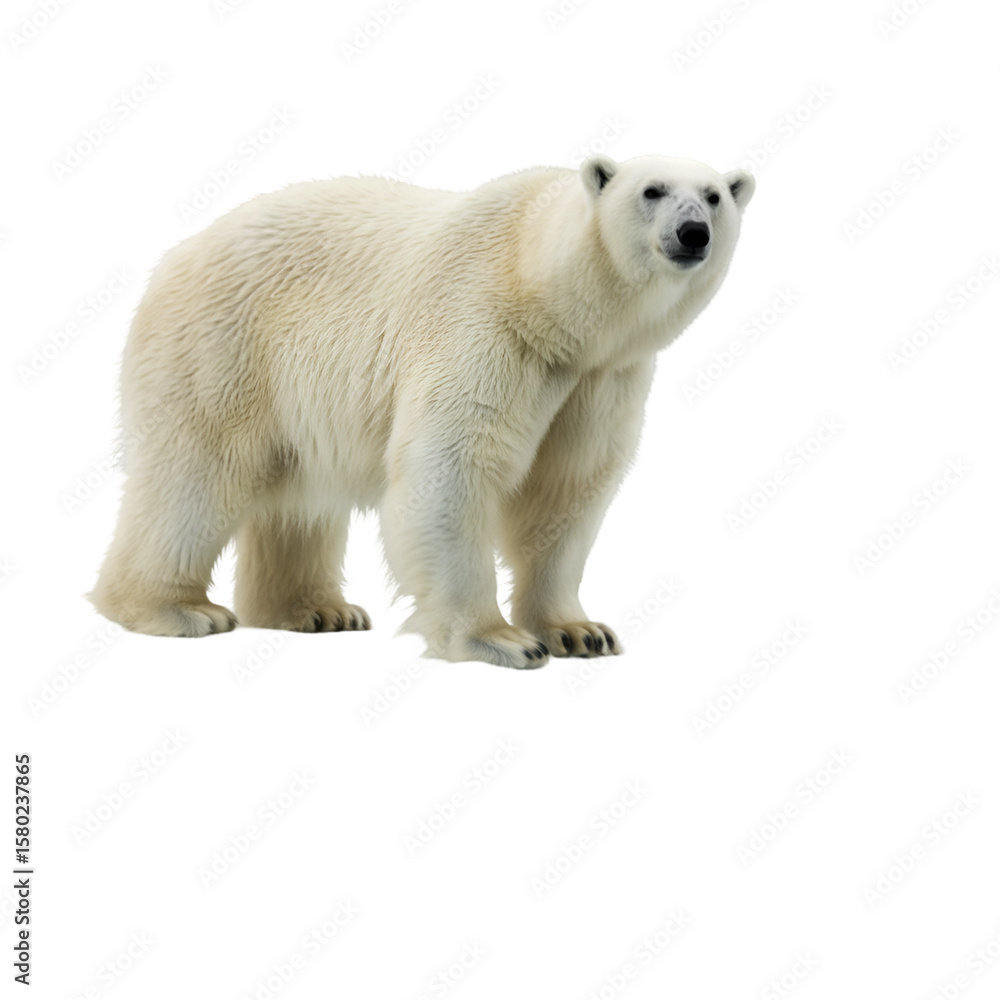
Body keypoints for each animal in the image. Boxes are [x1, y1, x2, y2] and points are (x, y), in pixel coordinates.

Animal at [90, 154, 754, 668]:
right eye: (652, 190)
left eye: (715, 196)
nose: (693, 232)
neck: (544, 291)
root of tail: (172, 257)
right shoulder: (488, 328)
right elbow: (452, 467)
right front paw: (501, 641)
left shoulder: (601, 379)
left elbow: (566, 488)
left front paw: (580, 631)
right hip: (222, 347)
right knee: (196, 474)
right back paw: (177, 609)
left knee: (298, 499)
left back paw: (320, 610)